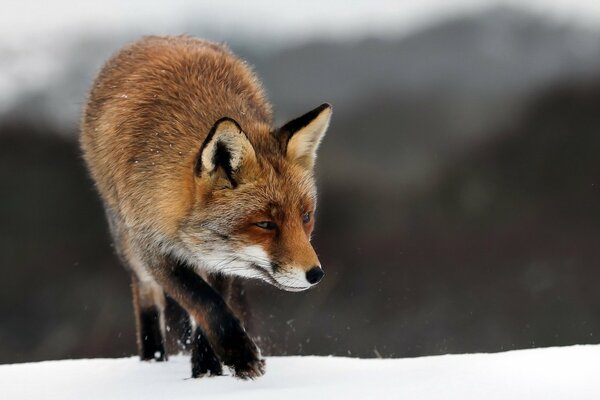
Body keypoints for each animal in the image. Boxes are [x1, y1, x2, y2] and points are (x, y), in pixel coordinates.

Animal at [78, 36, 332, 380]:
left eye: (306, 217)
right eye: (265, 224)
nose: (315, 274)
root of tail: (156, 37)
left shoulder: (219, 261)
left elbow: (212, 304)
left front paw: (207, 368)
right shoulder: (152, 246)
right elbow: (204, 302)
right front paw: (239, 354)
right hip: (127, 243)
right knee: (146, 292)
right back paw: (152, 358)